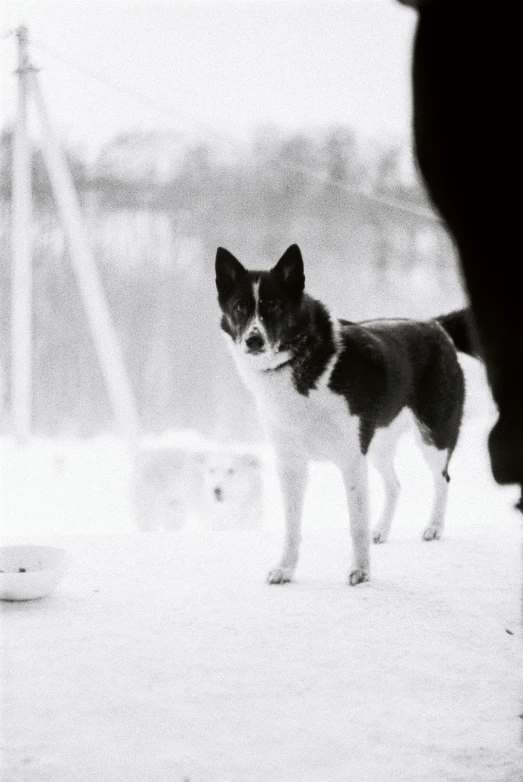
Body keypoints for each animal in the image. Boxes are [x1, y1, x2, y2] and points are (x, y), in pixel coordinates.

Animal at [216, 247, 470, 588]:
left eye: (275, 306)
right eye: (240, 307)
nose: (253, 341)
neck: (302, 360)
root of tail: (435, 326)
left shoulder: (351, 460)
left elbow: (356, 522)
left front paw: (360, 572)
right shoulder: (291, 464)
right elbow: (292, 525)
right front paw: (285, 568)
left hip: (433, 436)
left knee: (442, 478)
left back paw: (434, 527)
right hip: (377, 444)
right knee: (395, 485)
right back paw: (382, 530)